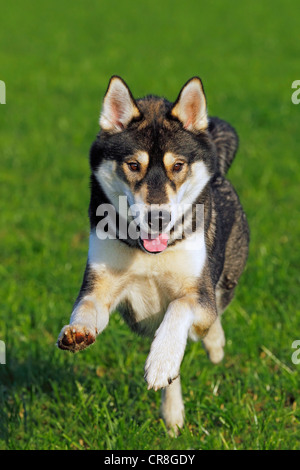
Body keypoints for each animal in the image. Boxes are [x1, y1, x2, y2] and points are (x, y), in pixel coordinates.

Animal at [57, 76, 250, 434]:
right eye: (134, 165)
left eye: (178, 166)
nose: (158, 218)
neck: (147, 254)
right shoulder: (100, 287)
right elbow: (87, 308)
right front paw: (77, 333)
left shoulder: (197, 293)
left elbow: (180, 308)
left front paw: (161, 359)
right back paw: (172, 414)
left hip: (227, 277)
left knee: (212, 317)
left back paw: (212, 348)